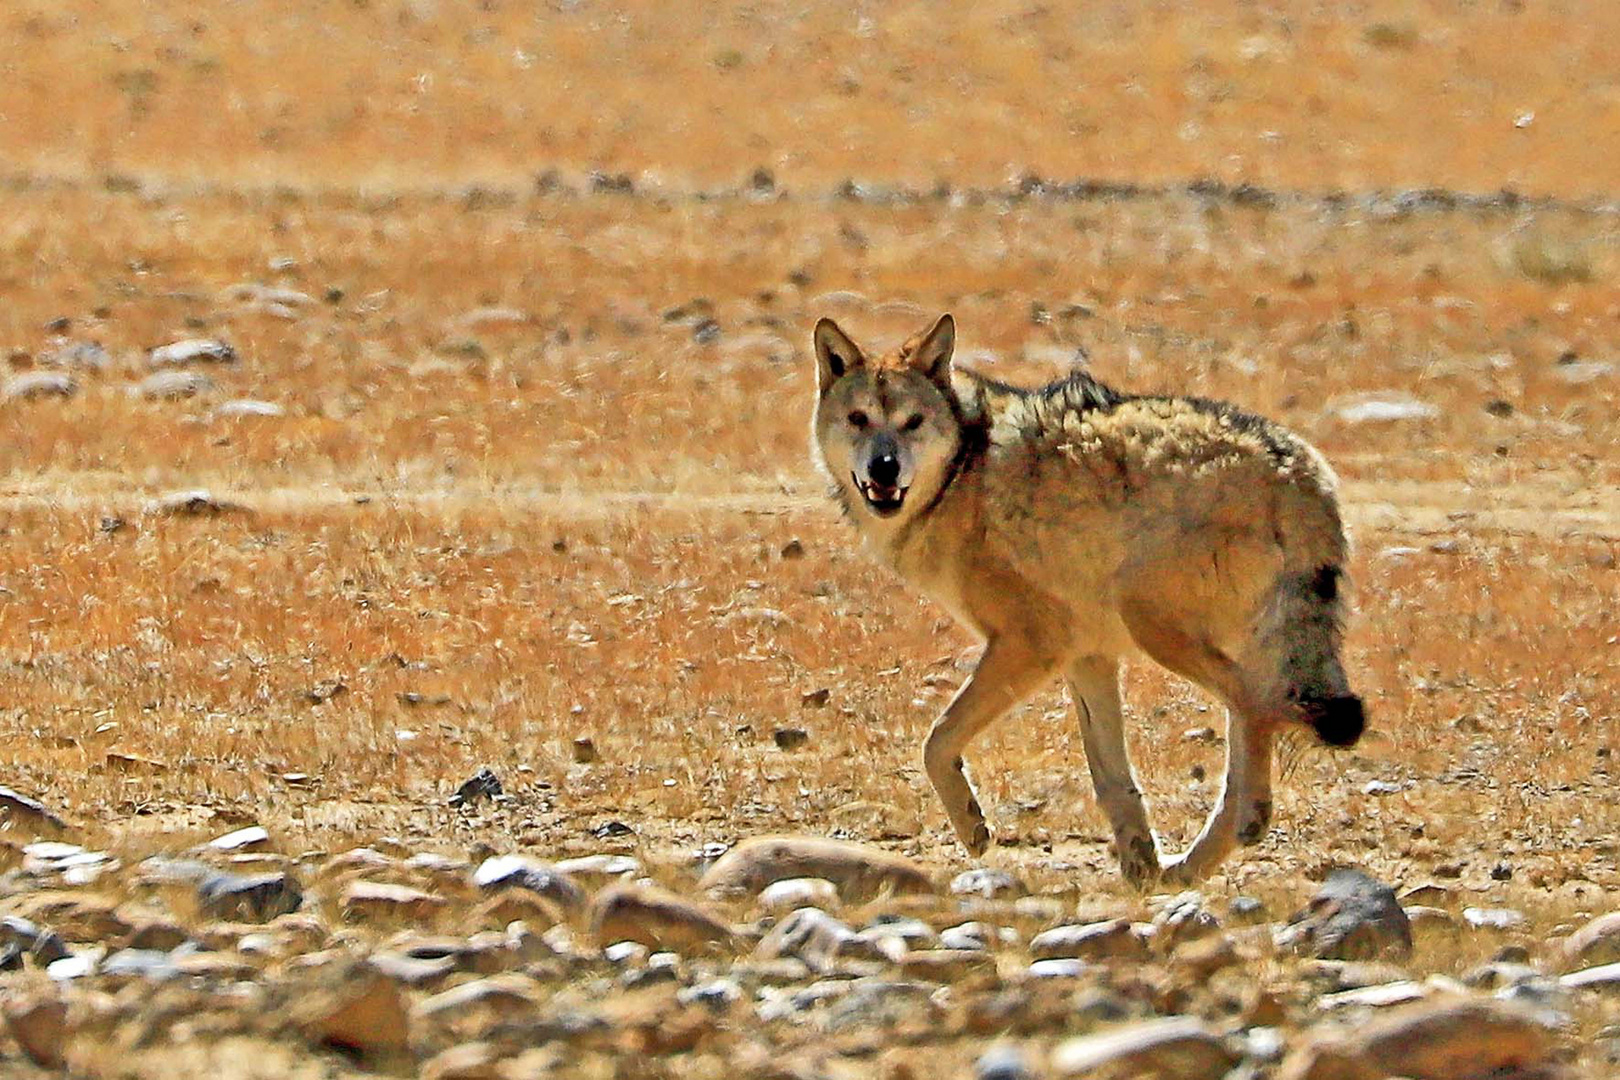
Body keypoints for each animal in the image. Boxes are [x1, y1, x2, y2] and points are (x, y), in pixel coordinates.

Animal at [803, 312, 1360, 887]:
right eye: (859, 419)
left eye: (912, 422)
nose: (884, 468)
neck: (962, 474)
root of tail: (1298, 472)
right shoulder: (1088, 655)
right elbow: (1114, 781)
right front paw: (1140, 870)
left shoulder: (1034, 645)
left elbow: (935, 740)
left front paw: (973, 828)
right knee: (1253, 722)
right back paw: (1190, 866)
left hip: (1158, 630)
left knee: (1259, 708)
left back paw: (1244, 824)